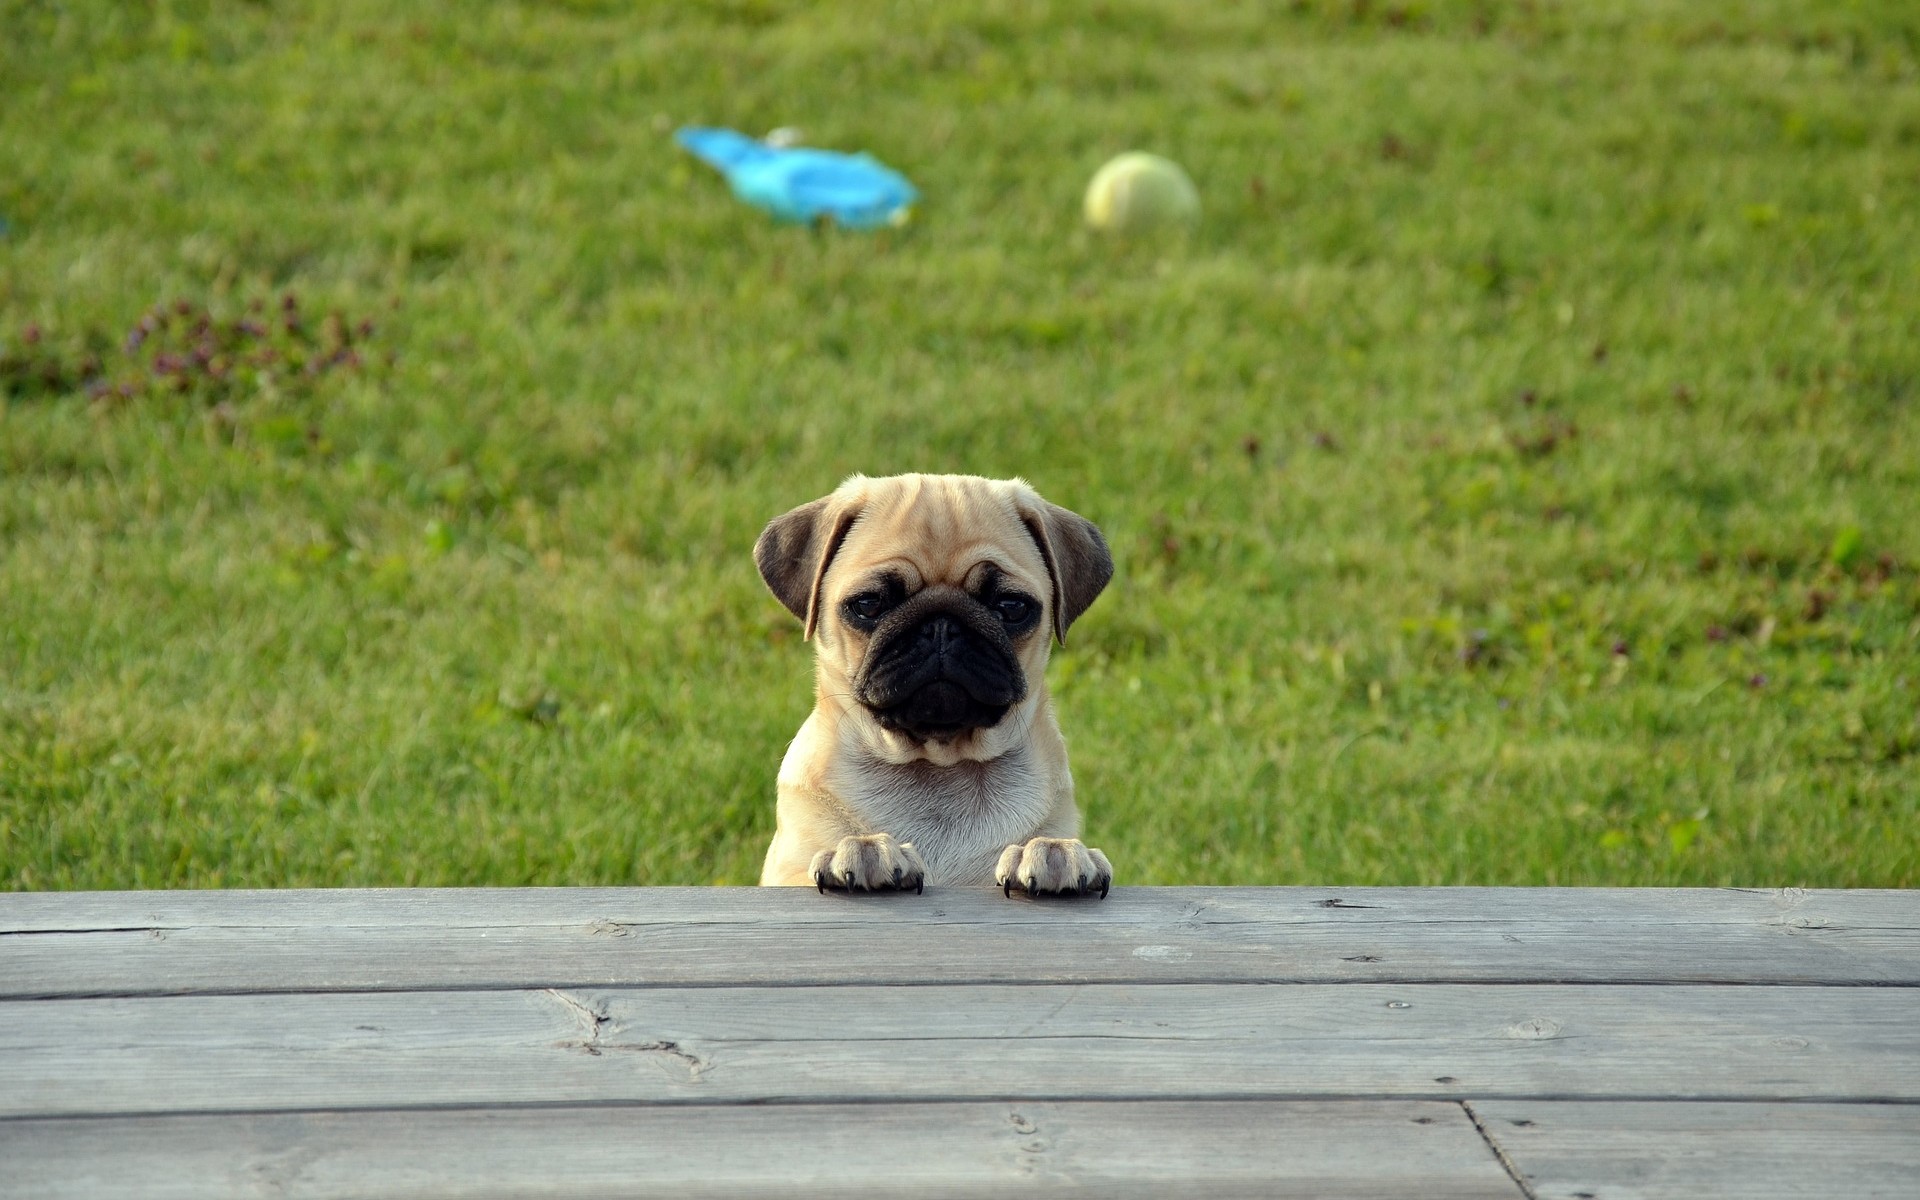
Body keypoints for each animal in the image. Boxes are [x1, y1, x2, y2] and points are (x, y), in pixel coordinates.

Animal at [748, 472, 1113, 894]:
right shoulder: (784, 873)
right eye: (869, 604)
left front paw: (1054, 852)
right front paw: (865, 850)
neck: (939, 766)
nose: (942, 625)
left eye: (1011, 607)